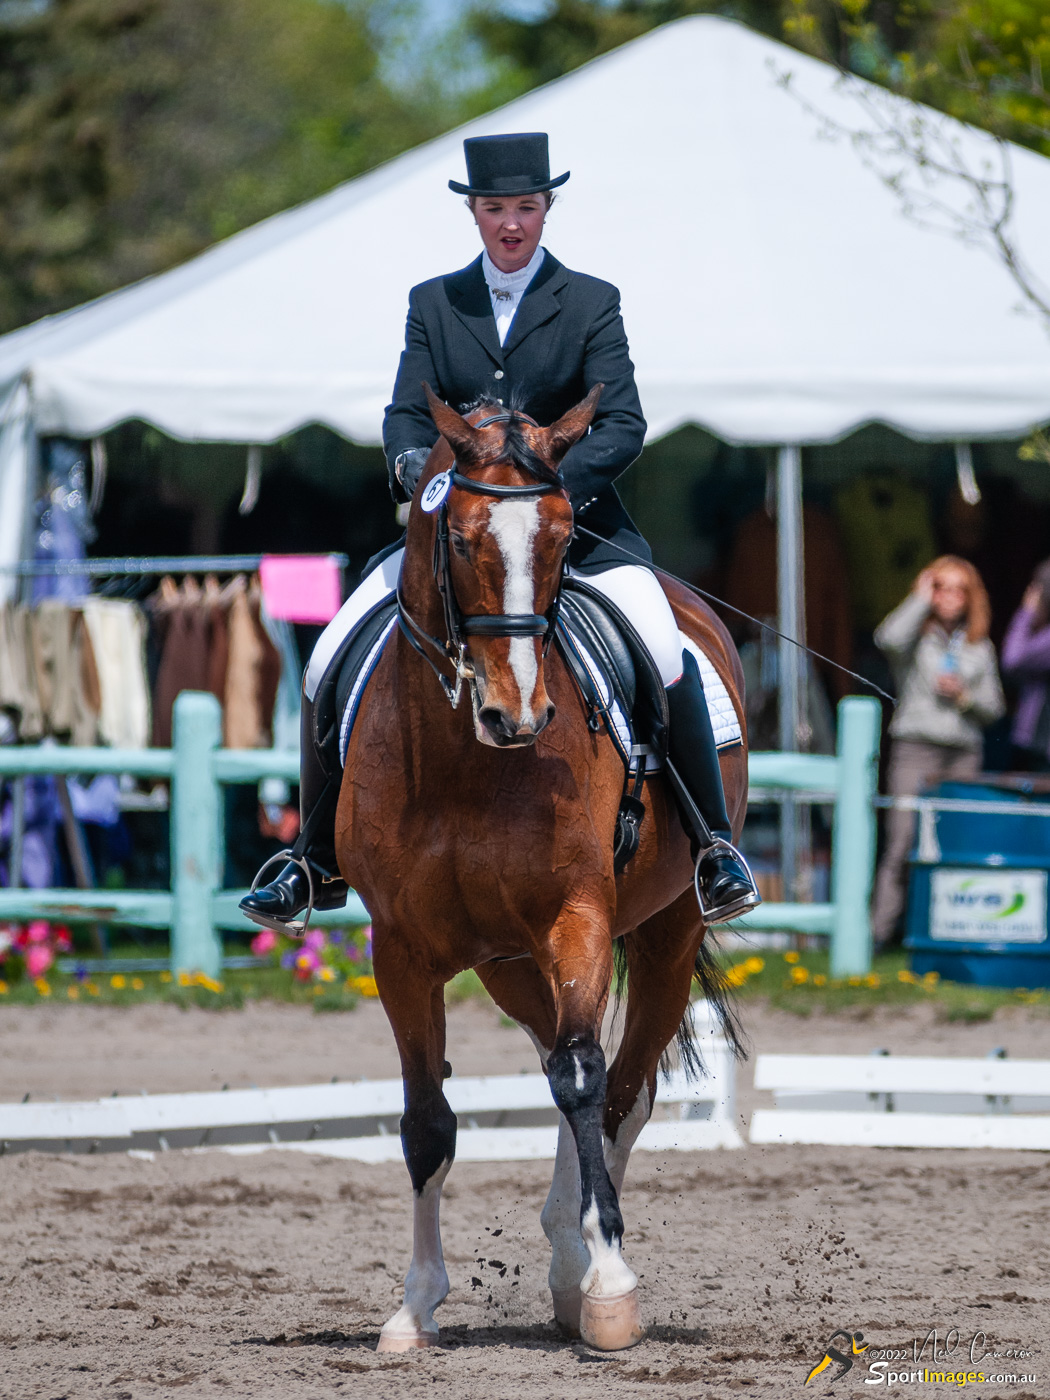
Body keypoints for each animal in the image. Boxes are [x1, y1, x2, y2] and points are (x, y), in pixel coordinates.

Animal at [338, 386, 750, 1355]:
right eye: (457, 538)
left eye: (564, 537)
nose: (516, 715)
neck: (465, 761)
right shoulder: (402, 950)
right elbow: (427, 1121)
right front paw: (414, 1309)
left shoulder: (577, 918)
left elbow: (585, 1081)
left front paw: (611, 1284)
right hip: (505, 961)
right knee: (566, 1061)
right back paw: (564, 1254)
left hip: (667, 931)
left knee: (618, 1087)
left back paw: (586, 1269)